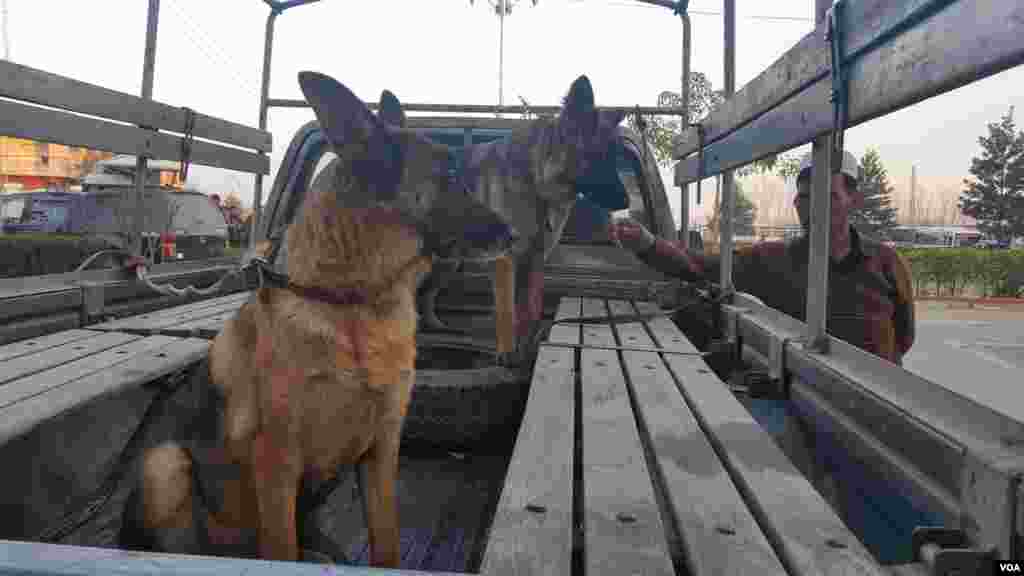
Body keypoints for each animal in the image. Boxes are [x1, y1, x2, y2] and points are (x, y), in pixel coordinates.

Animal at [120, 71, 520, 565]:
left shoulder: (381, 455)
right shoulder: (277, 465)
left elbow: (386, 542)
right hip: (166, 467)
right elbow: (281, 549)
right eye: (448, 178)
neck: (353, 303)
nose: (514, 235)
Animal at [413, 74, 622, 348]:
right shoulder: (507, 261)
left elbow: (530, 310)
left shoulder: (534, 260)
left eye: (615, 158)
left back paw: (433, 325)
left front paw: (526, 342)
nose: (625, 202)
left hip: (447, 263)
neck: (536, 180)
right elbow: (508, 311)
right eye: (599, 156)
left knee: (425, 293)